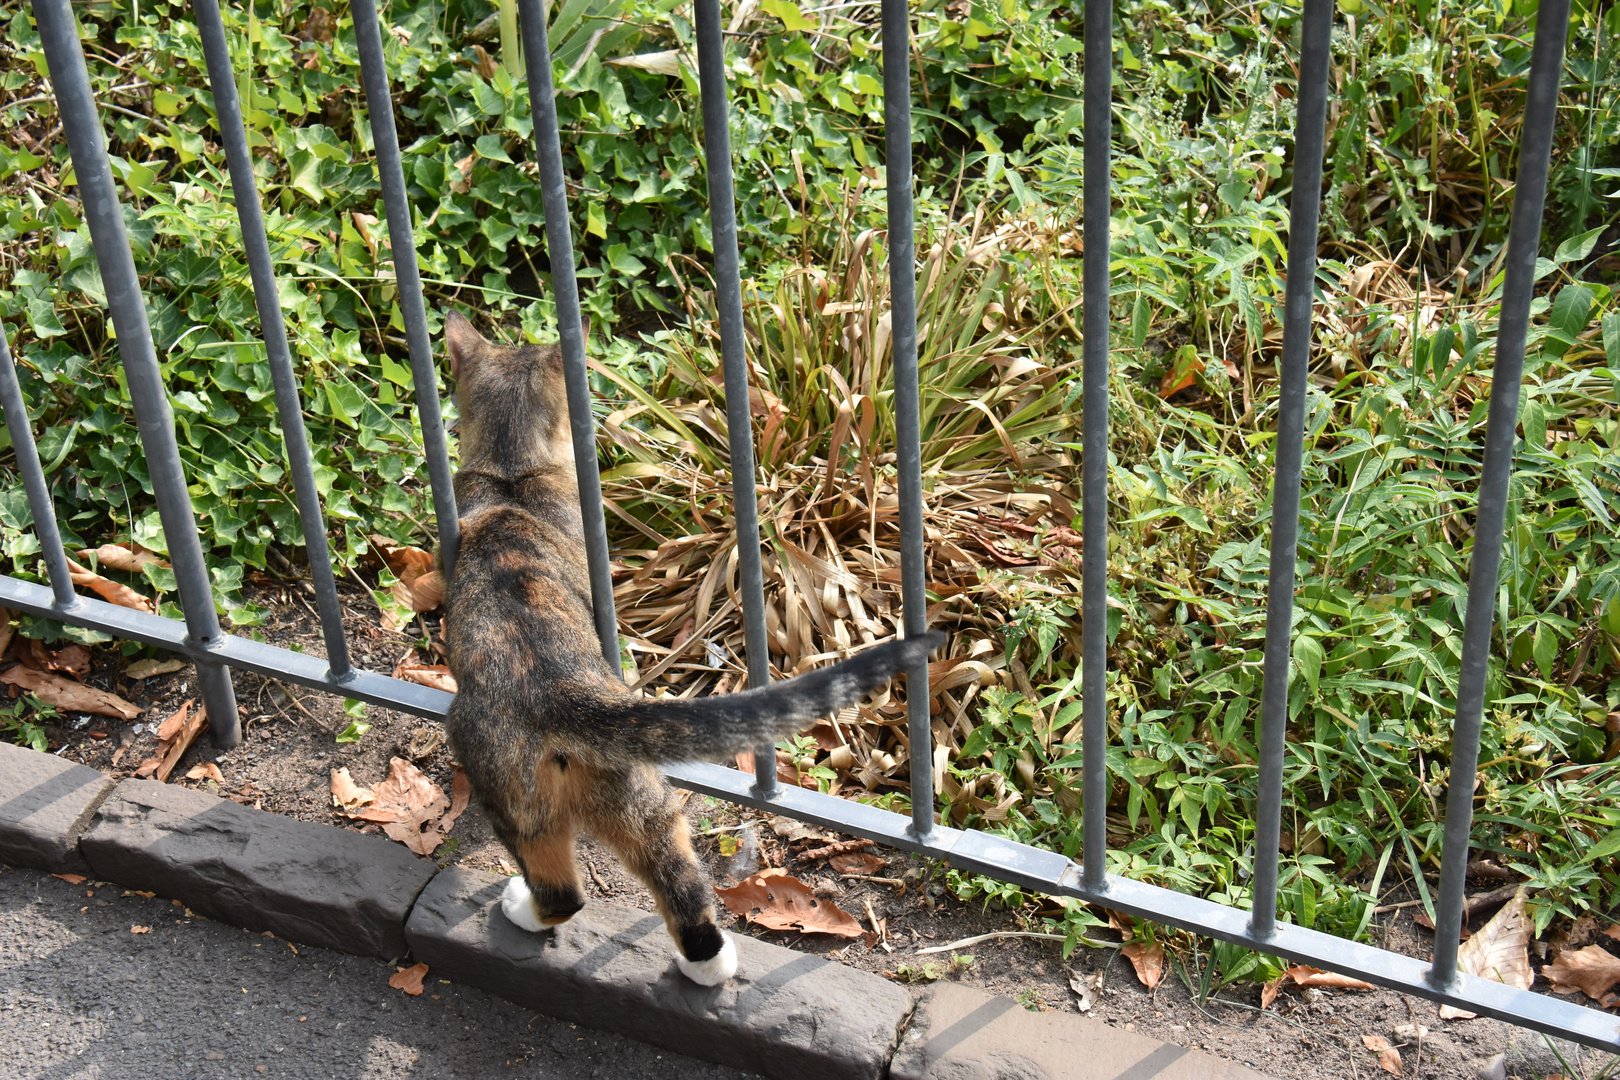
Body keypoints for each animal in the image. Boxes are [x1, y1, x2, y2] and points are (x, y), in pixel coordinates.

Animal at [440, 307, 946, 984]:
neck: (511, 476)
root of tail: (566, 693)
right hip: (643, 797)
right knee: (675, 875)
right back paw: (709, 963)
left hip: (508, 790)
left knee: (563, 891)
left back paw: (520, 906)